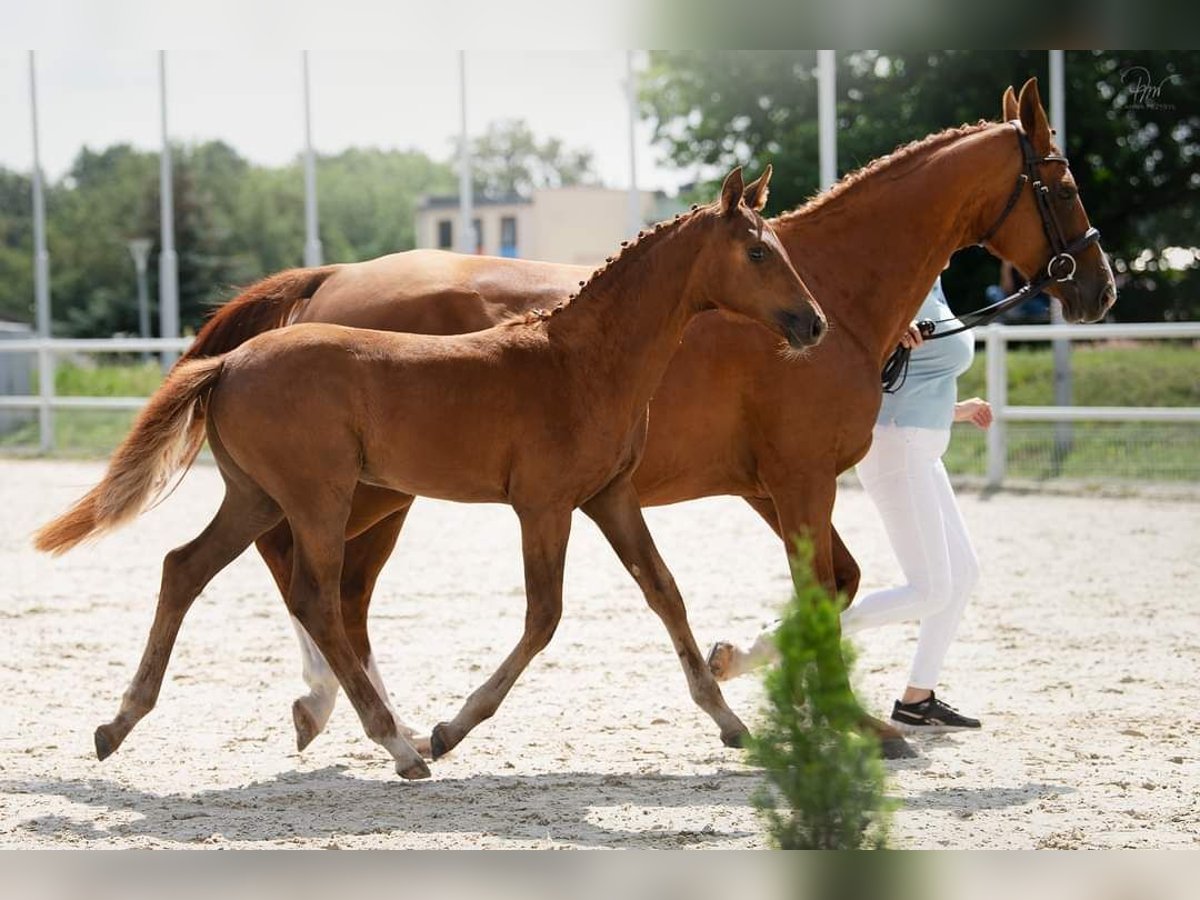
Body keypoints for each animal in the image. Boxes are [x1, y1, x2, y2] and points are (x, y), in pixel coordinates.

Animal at [35, 168, 825, 777]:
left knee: (185, 568)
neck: (580, 360)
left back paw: (118, 724)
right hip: (321, 498)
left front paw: (728, 719)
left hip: (259, 496)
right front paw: (452, 729)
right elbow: (544, 616)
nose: (813, 324)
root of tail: (229, 362)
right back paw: (399, 744)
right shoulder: (543, 505)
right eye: (758, 251)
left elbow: (665, 592)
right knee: (318, 598)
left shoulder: (609, 496)